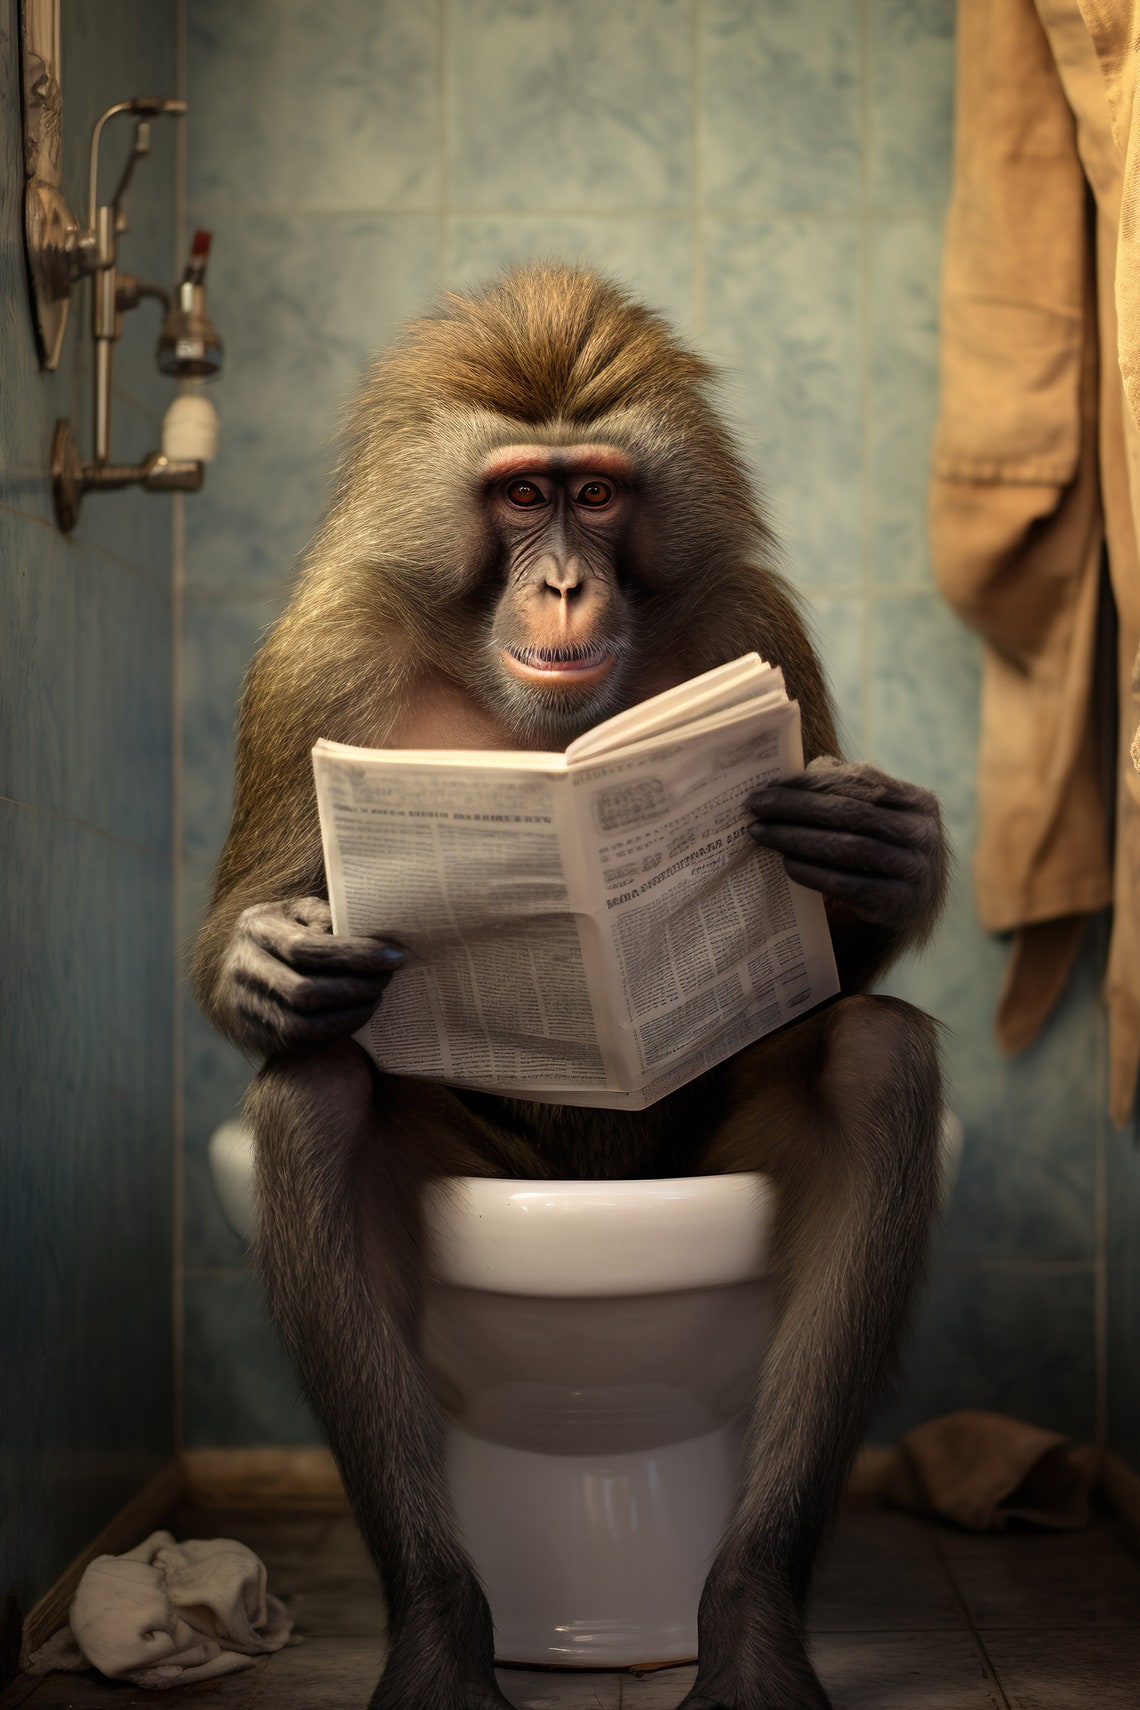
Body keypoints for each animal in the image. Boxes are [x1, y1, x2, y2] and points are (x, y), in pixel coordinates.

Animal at [193, 264, 947, 1710]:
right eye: (518, 494)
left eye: (595, 493)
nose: (558, 583)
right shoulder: (317, 661)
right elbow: (251, 936)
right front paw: (270, 962)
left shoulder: (754, 632)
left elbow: (834, 974)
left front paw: (882, 852)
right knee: (316, 1101)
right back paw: (440, 1633)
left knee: (877, 1066)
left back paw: (750, 1620)